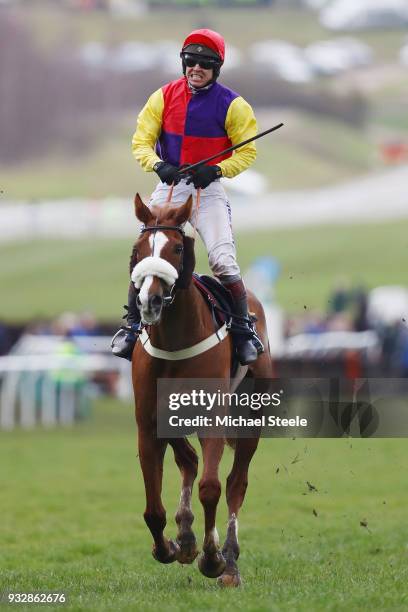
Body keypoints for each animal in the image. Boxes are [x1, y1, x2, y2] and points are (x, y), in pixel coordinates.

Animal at [131, 194, 270, 584]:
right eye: (138, 250)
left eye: (177, 248)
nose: (149, 301)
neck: (175, 340)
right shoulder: (148, 422)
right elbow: (152, 508)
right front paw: (171, 546)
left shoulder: (213, 418)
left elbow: (213, 487)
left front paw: (212, 557)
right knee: (189, 461)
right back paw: (186, 534)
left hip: (252, 417)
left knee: (237, 482)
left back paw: (230, 562)